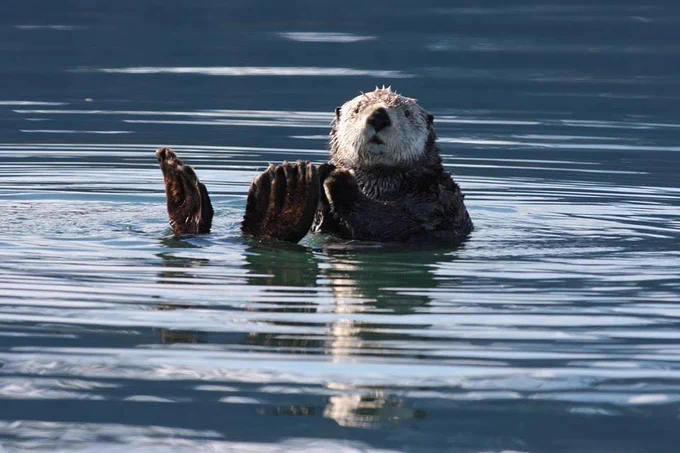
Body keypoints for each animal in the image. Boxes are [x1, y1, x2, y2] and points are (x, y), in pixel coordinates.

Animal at [156, 87, 472, 243]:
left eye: (406, 113)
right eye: (358, 109)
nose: (379, 116)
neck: (378, 185)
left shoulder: (439, 200)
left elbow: (398, 224)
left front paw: (339, 179)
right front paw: (329, 172)